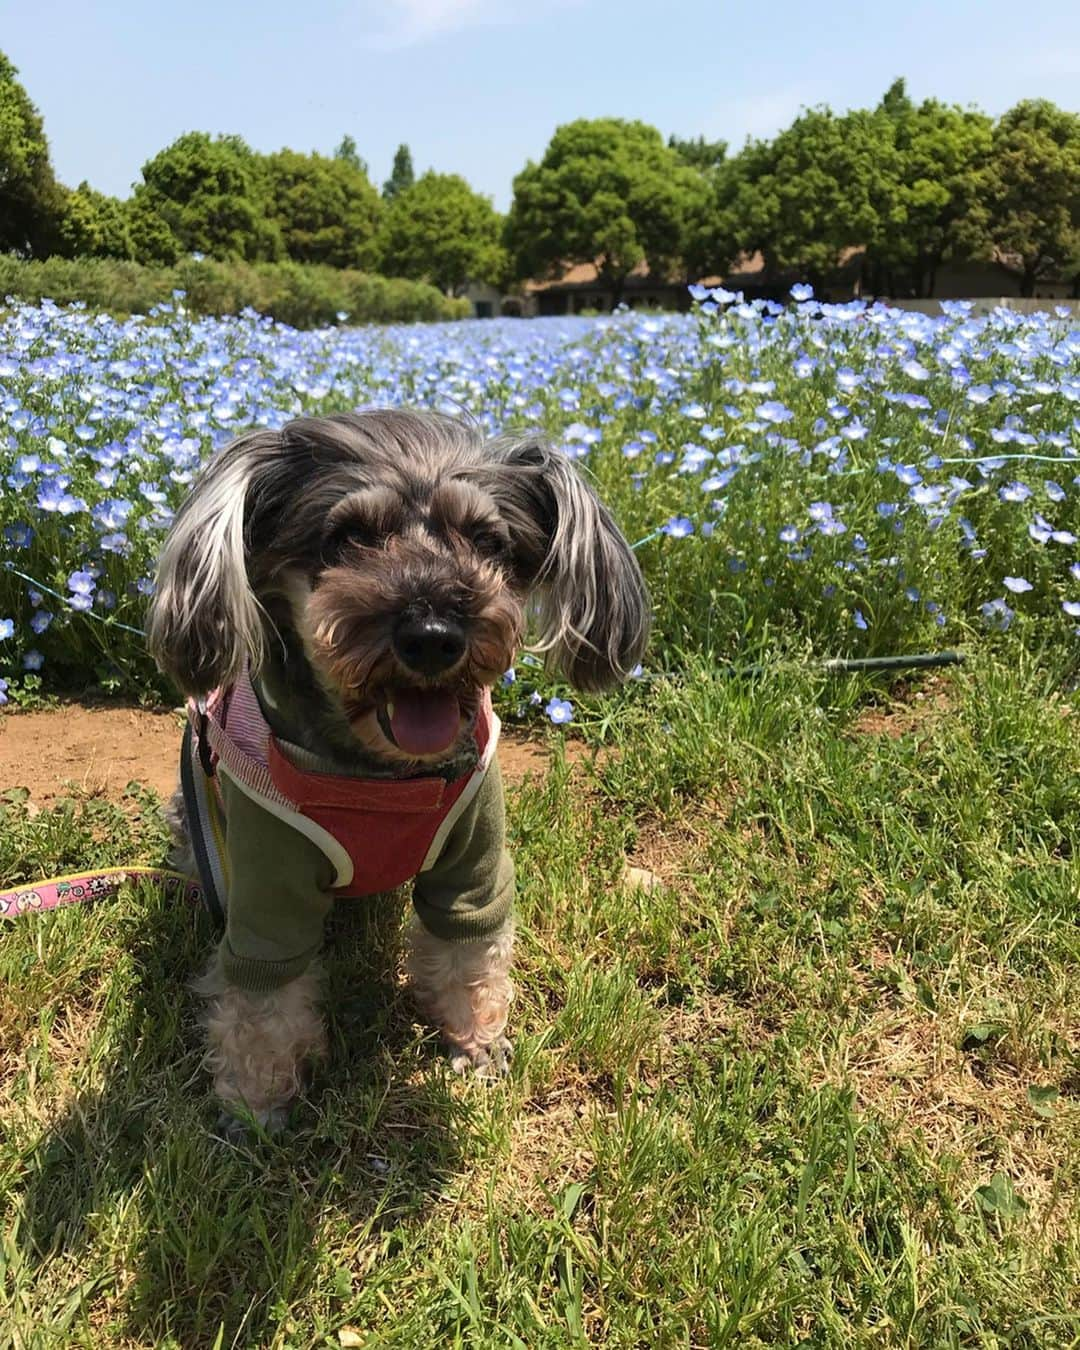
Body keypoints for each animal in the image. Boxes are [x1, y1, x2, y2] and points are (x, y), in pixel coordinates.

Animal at [144, 410, 650, 1128]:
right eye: (349, 537)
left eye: (486, 540)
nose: (434, 637)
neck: (382, 778)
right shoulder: (267, 885)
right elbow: (261, 1003)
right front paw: (255, 1103)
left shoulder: (474, 858)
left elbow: (469, 949)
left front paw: (477, 1041)